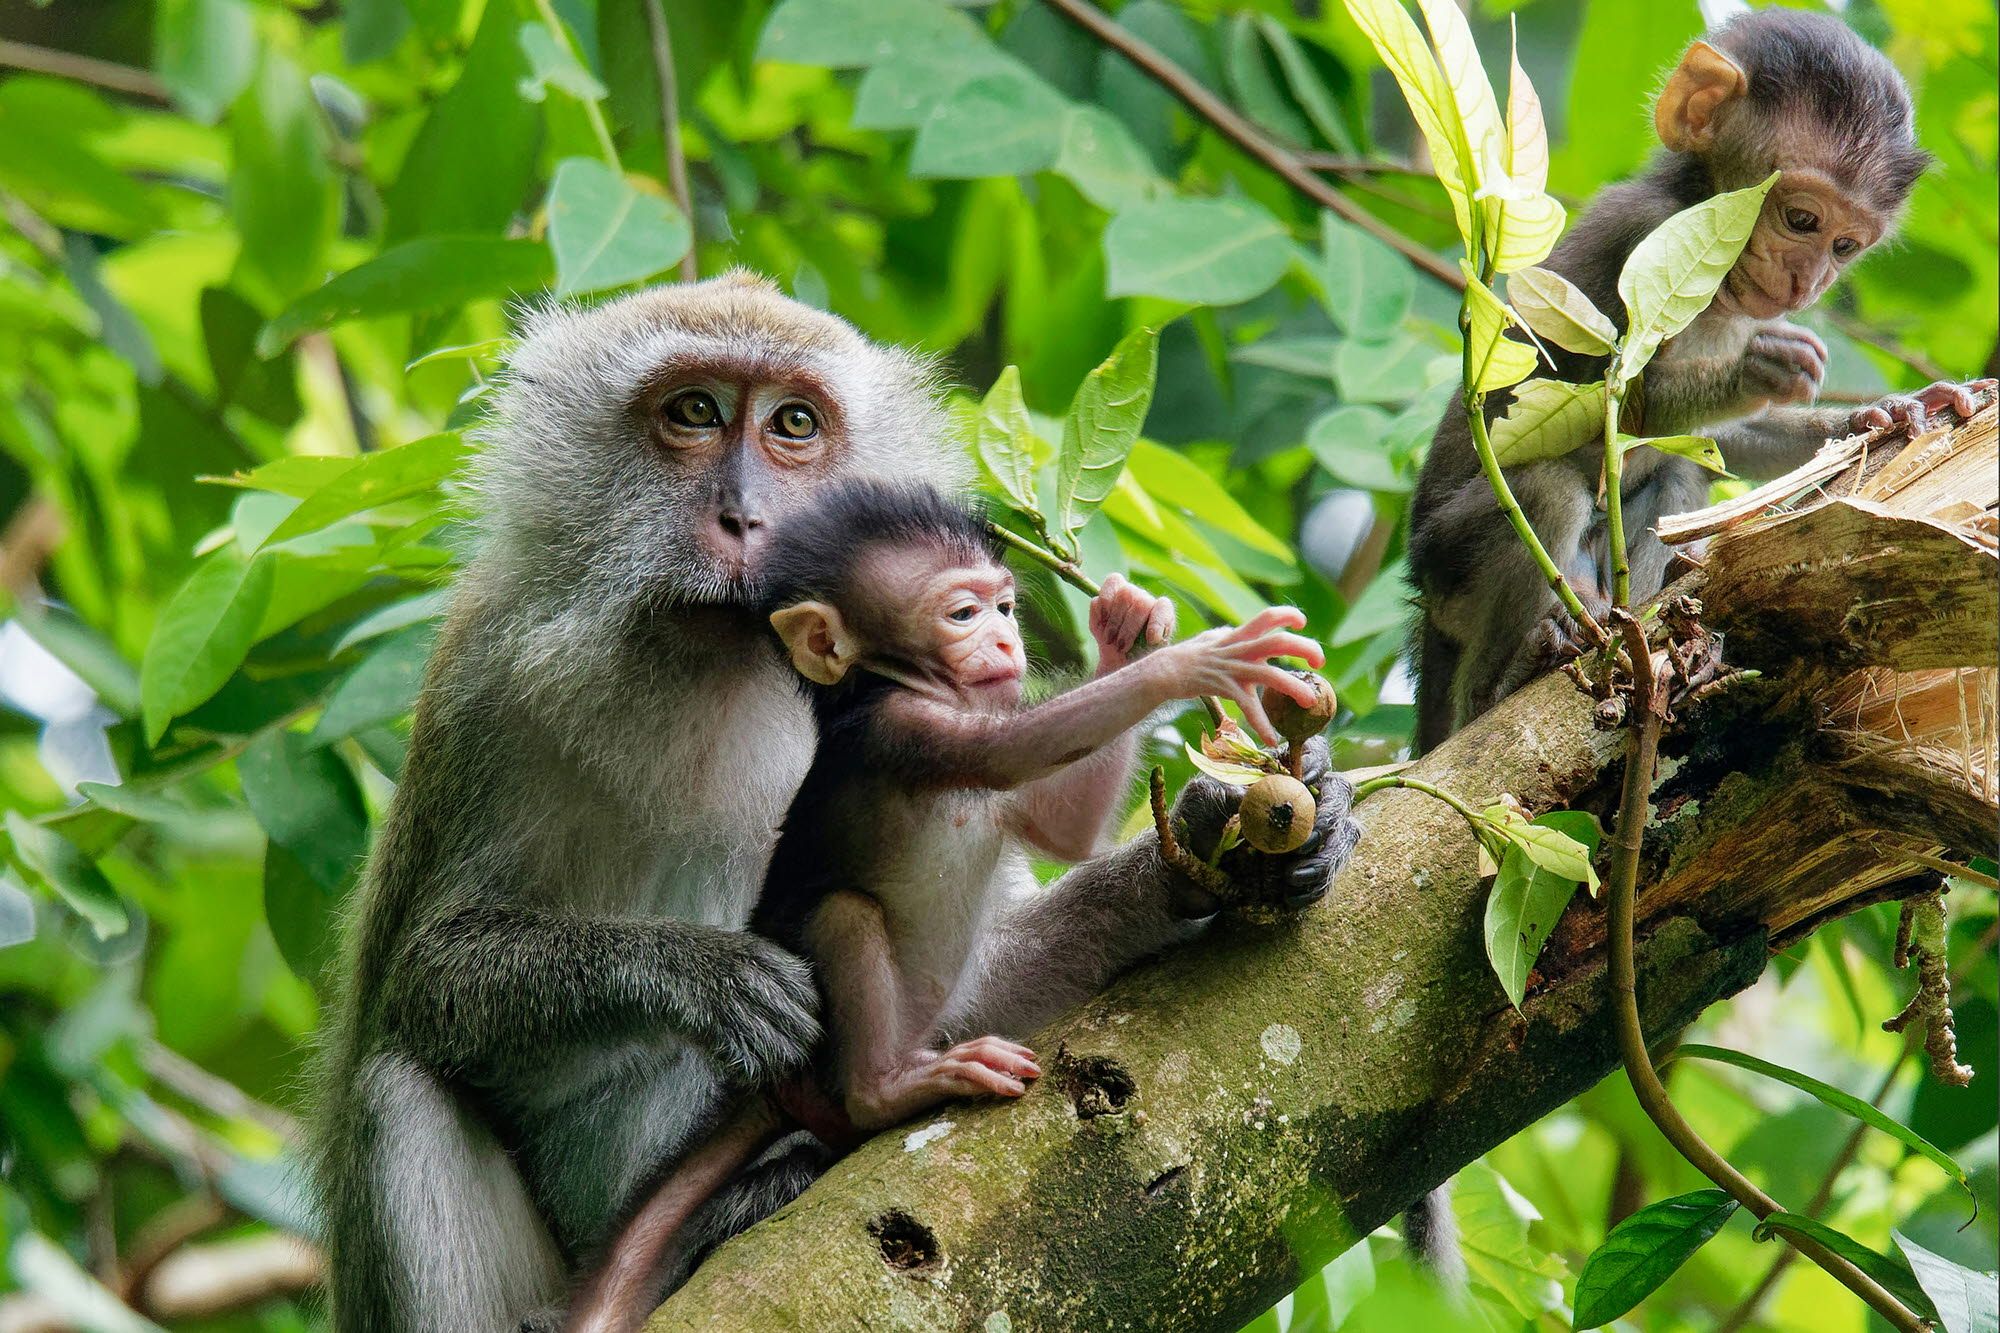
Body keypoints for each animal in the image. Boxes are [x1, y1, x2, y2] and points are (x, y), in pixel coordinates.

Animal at [564, 482, 1336, 1320]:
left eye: (1004, 607)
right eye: (963, 614)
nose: (1003, 643)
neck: (901, 683)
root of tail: (781, 1082)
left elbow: (1062, 825)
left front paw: (1127, 633)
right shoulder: (903, 729)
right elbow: (1012, 752)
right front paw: (1194, 661)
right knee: (844, 916)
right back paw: (890, 1089)